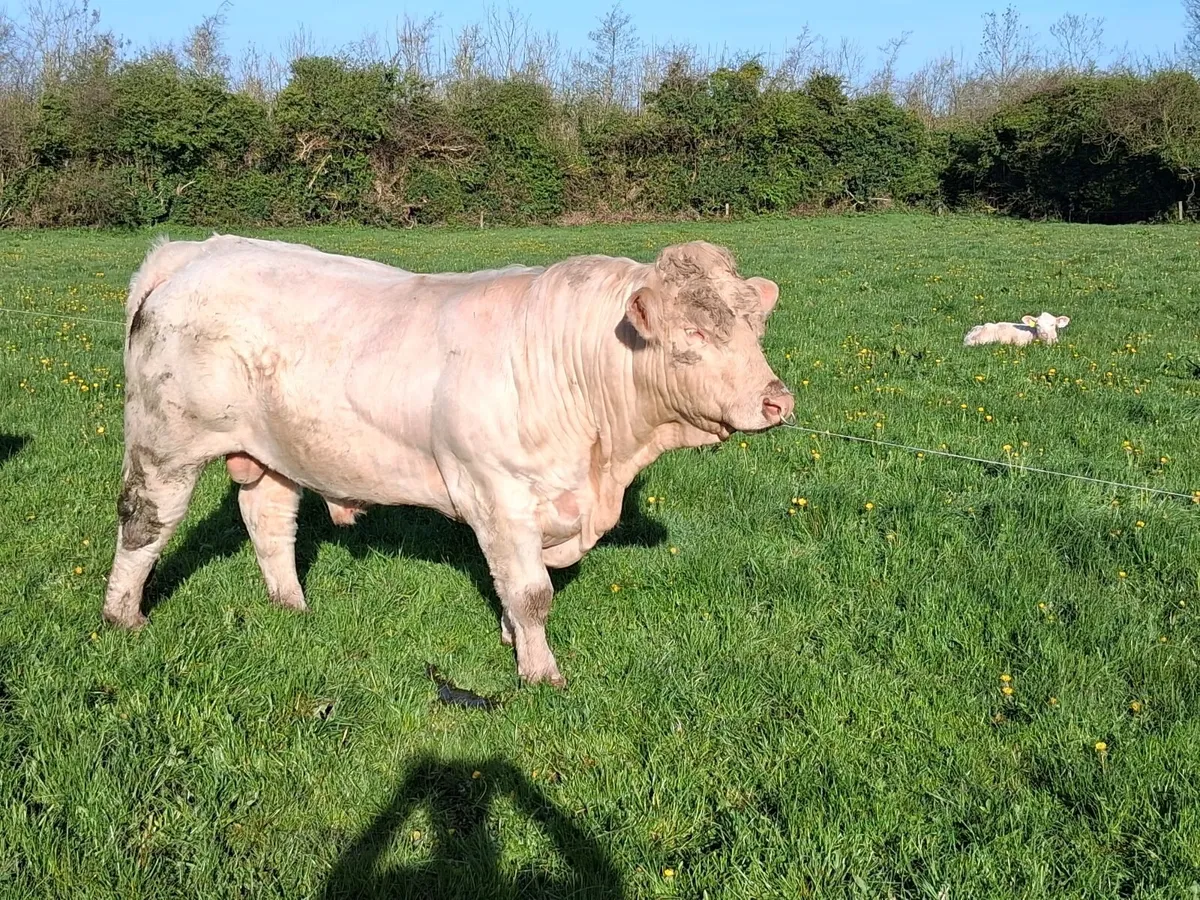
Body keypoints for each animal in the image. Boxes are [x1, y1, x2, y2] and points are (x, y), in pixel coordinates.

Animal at [103, 234, 794, 687]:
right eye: (693, 333)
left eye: (755, 327)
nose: (777, 400)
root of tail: (195, 252)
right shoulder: (499, 495)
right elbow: (531, 592)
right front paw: (540, 673)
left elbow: (513, 590)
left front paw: (514, 642)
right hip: (166, 444)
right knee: (146, 521)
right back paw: (122, 618)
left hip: (270, 449)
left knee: (269, 519)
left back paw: (291, 605)